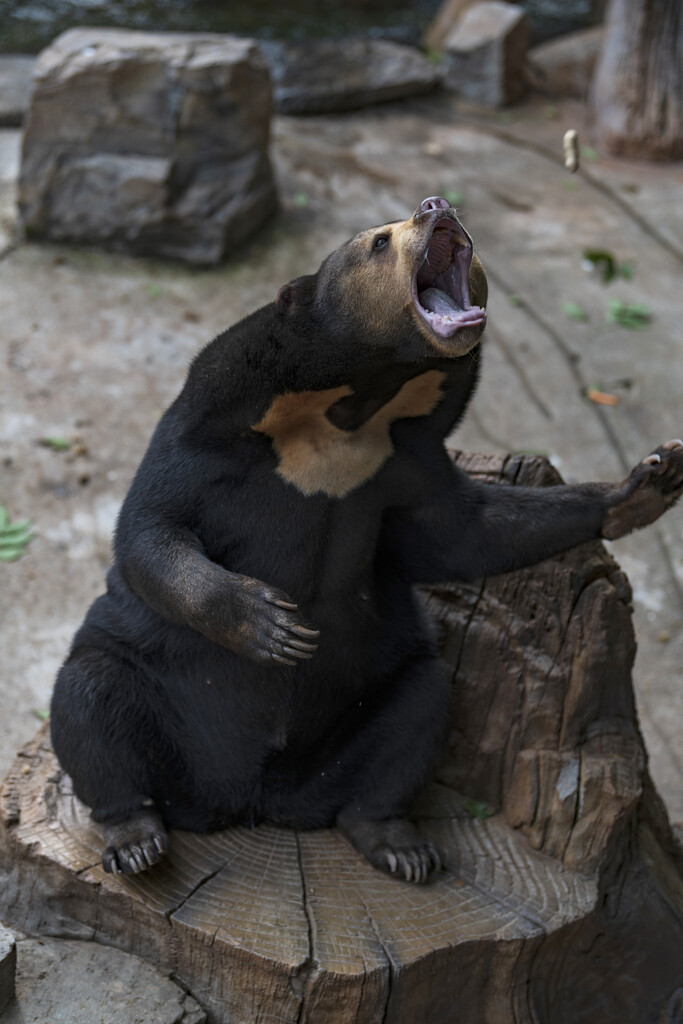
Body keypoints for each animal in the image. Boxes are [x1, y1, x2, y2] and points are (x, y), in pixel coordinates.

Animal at [52, 197, 683, 880]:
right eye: (380, 242)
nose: (437, 204)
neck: (352, 405)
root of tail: (250, 801)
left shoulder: (404, 457)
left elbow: (466, 533)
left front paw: (652, 480)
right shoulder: (208, 426)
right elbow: (149, 529)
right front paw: (273, 625)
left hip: (366, 703)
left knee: (417, 712)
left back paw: (397, 844)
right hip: (152, 684)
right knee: (89, 699)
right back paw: (135, 837)